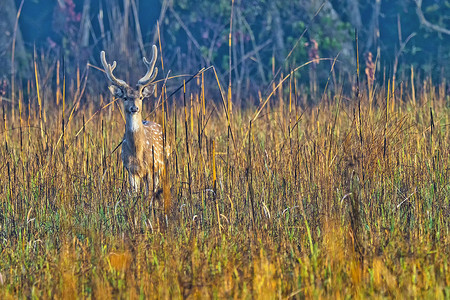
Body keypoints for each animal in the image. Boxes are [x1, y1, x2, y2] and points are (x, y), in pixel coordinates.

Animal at [100, 44, 167, 195]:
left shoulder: (151, 167)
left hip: (161, 164)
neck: (138, 152)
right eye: (125, 98)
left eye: (140, 97)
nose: (134, 108)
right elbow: (135, 194)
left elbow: (149, 194)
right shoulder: (130, 170)